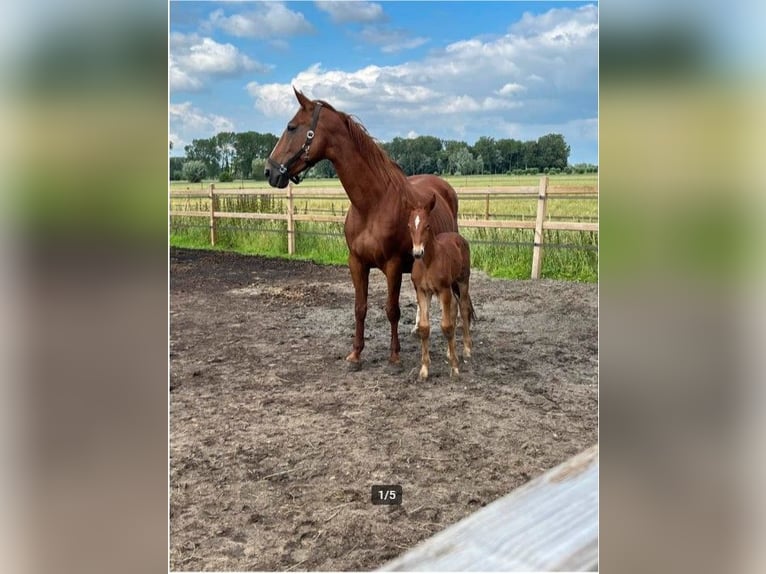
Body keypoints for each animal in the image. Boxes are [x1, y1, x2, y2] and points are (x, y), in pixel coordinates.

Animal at [412, 195, 476, 382]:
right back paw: (449, 351)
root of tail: (457, 236)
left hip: (462, 281)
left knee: (463, 308)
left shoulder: (443, 290)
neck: (428, 263)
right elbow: (424, 328)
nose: (417, 253)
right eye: (409, 225)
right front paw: (424, 370)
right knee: (454, 308)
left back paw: (466, 349)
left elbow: (446, 326)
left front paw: (455, 368)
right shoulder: (422, 291)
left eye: (427, 225)